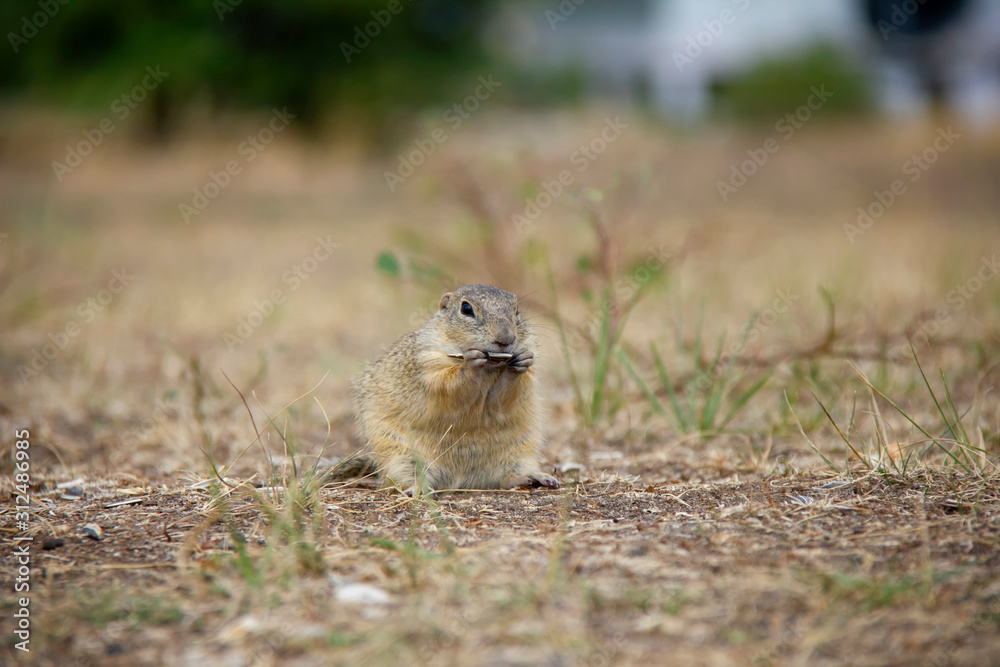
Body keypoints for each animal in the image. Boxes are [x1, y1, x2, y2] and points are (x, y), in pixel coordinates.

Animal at [348, 284, 560, 495]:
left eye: (516, 310)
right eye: (466, 309)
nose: (506, 338)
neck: (490, 367)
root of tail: (460, 480)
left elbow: (504, 398)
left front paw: (522, 359)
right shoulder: (430, 365)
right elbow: (451, 387)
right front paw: (471, 362)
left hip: (522, 451)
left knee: (507, 477)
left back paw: (536, 477)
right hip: (398, 453)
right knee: (402, 477)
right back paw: (417, 488)